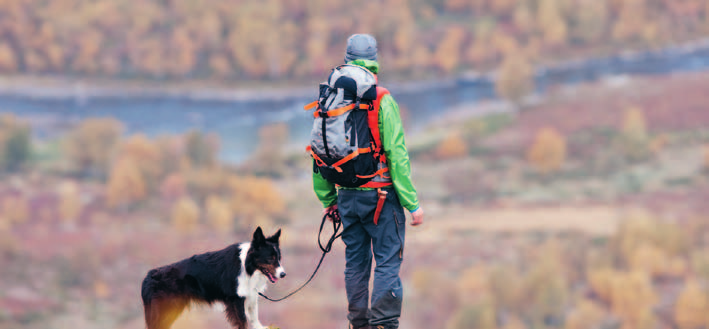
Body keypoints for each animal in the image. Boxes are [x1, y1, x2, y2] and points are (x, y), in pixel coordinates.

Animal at [141, 227, 284, 328]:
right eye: (270, 258)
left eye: (278, 258)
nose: (283, 274)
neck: (246, 265)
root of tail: (148, 277)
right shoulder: (236, 299)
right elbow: (243, 322)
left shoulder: (250, 295)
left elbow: (254, 318)